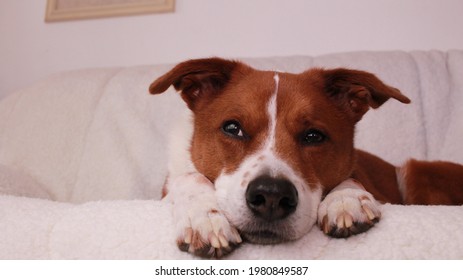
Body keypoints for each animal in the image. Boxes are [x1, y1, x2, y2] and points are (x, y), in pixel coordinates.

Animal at [149, 58, 463, 260]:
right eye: (232, 128)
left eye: (313, 135)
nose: (271, 196)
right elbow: (190, 177)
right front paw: (204, 217)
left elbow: (351, 179)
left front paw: (346, 198)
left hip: (416, 171)